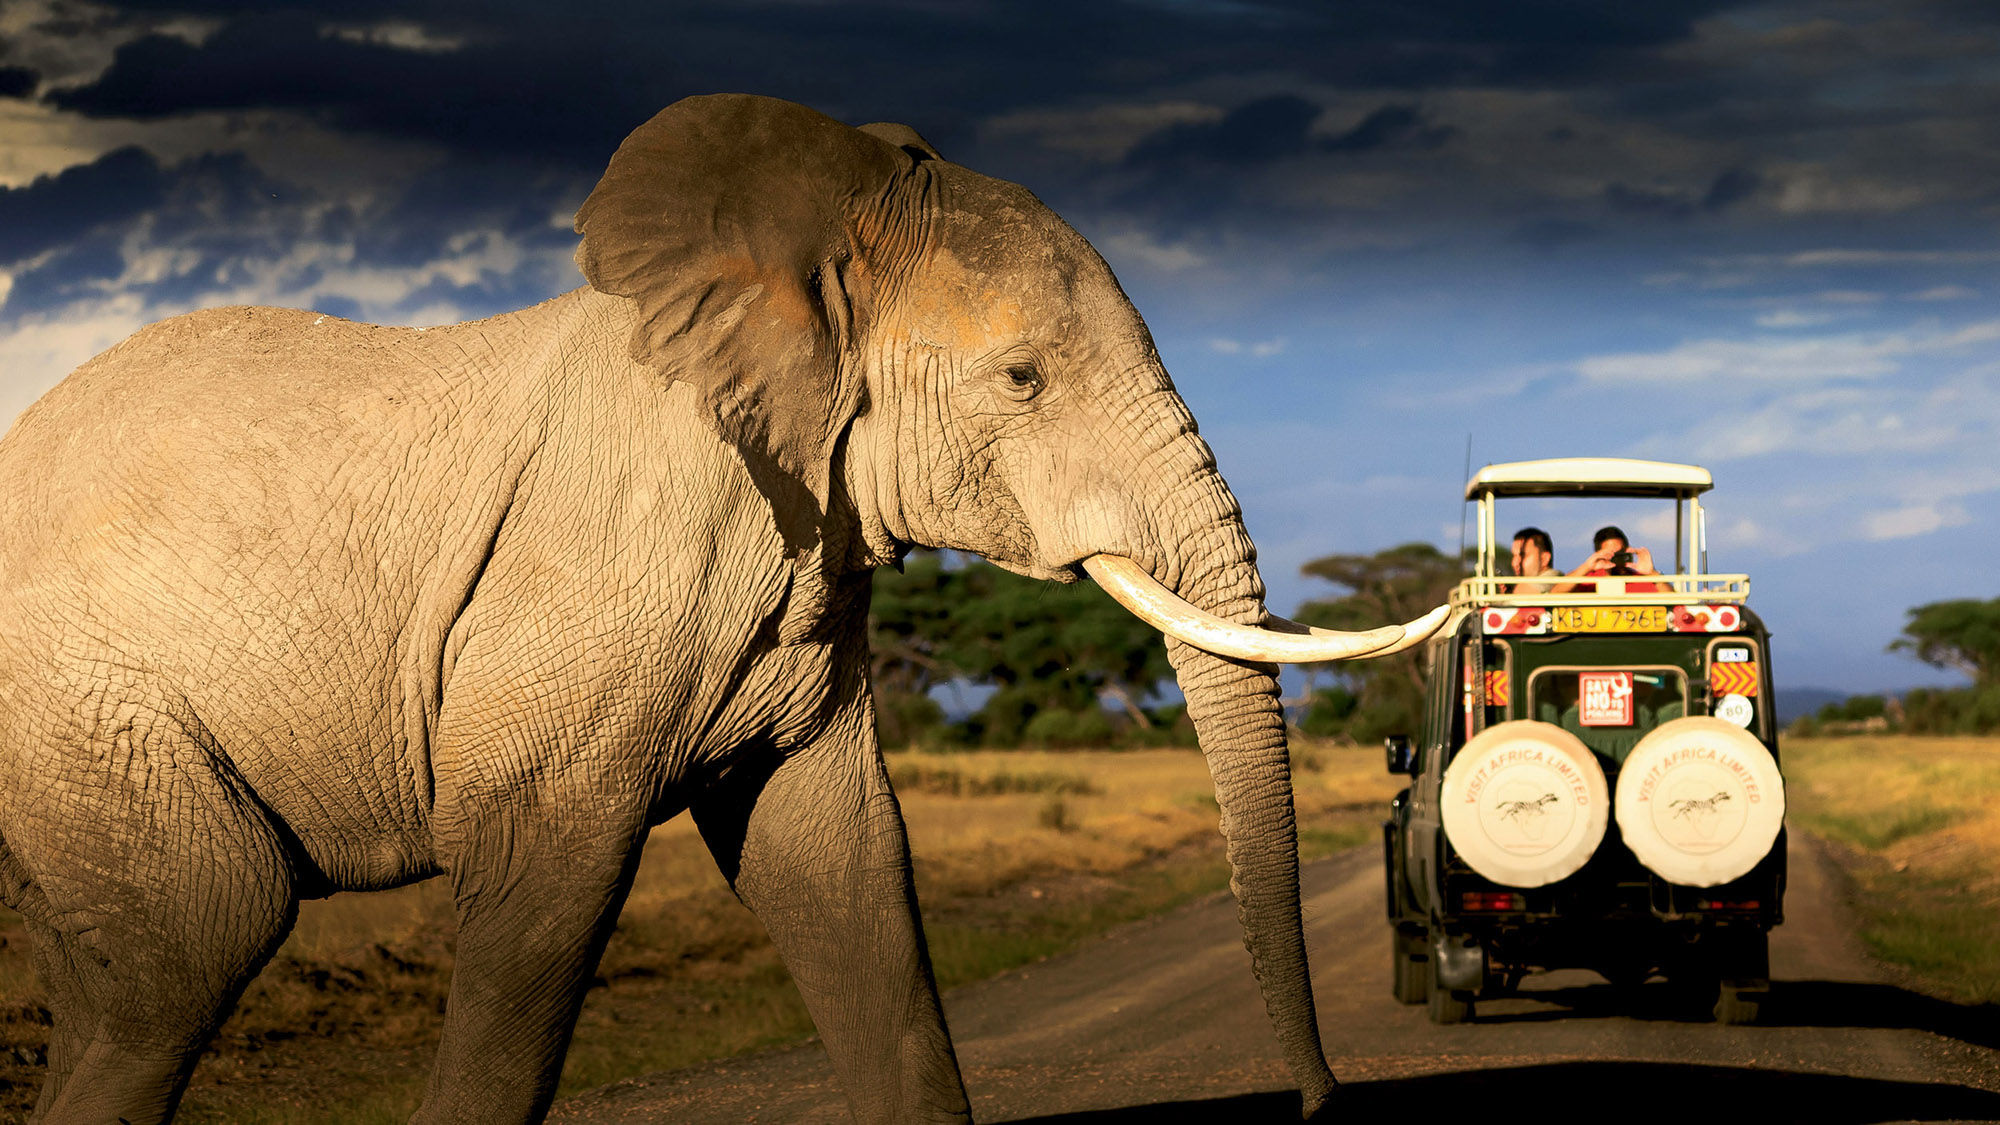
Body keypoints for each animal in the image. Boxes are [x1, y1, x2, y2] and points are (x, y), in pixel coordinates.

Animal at [0, 94, 1441, 1123]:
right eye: (1024, 380)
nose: (1319, 1103)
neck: (806, 250)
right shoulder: (598, 572)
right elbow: (539, 886)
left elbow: (845, 871)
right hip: (79, 699)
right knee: (196, 942)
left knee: (120, 975)